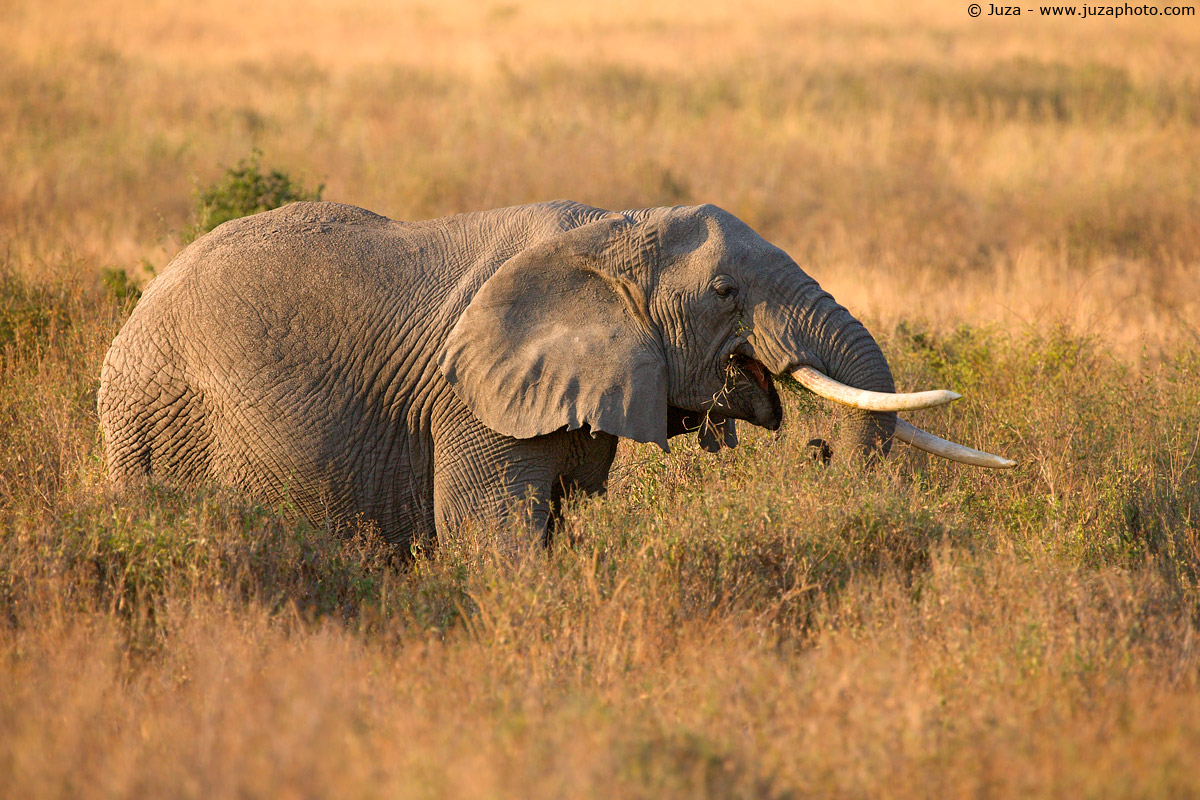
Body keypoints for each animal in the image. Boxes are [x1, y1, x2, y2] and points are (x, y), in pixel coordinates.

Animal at [98, 201, 1012, 550]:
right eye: (724, 292)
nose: (819, 454)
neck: (612, 230)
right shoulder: (470, 404)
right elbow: (493, 536)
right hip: (158, 425)